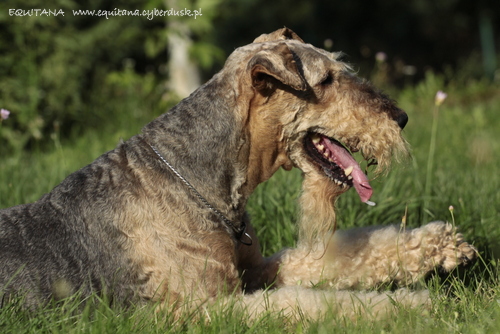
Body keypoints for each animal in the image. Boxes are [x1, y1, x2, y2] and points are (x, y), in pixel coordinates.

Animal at [0, 28, 476, 318]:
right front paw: (409, 305)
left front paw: (440, 244)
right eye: (326, 80)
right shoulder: (212, 306)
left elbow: (331, 258)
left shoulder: (259, 269)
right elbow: (321, 303)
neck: (197, 180)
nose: (401, 118)